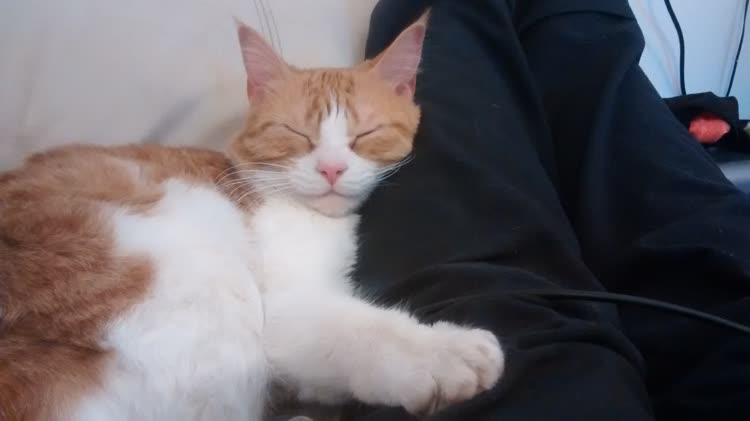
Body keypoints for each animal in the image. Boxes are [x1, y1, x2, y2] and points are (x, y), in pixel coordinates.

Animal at [0, 15, 504, 421]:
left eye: (365, 134)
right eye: (296, 134)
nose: (331, 169)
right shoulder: (287, 312)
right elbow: (368, 330)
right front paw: (447, 353)